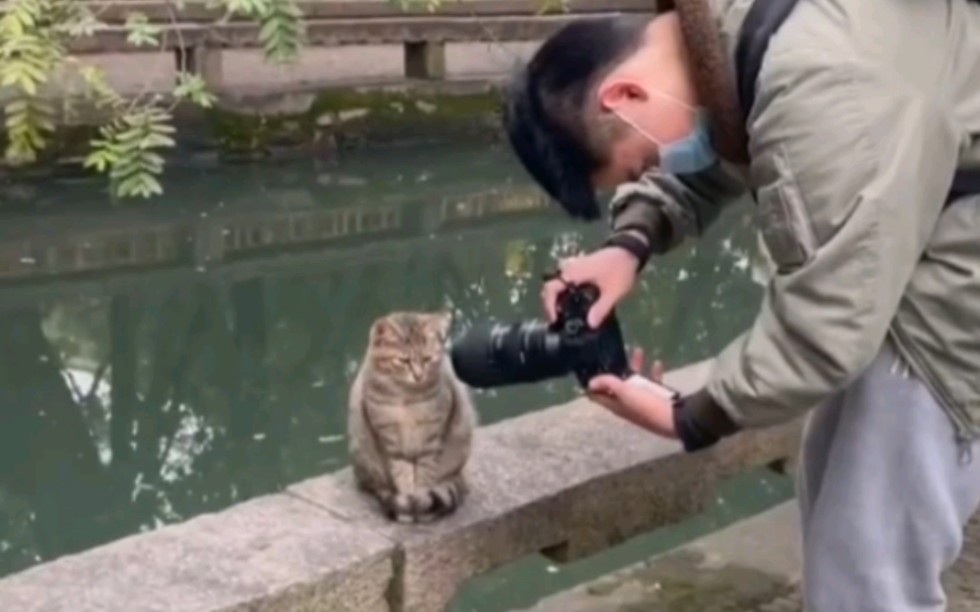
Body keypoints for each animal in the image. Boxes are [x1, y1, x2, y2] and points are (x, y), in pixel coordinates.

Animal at [348, 314, 478, 524]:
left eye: (427, 359)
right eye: (404, 361)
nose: (418, 376)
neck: (407, 397)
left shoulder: (432, 437)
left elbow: (425, 474)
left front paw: (420, 502)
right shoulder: (389, 438)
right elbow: (403, 474)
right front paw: (409, 504)